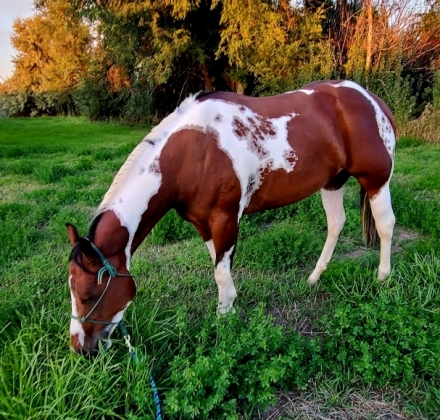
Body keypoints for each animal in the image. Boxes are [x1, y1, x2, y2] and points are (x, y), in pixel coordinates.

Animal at [67, 79, 398, 354]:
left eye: (87, 295)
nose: (80, 349)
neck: (192, 151)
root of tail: (374, 100)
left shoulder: (225, 219)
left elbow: (221, 272)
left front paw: (224, 320)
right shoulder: (203, 224)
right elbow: (220, 269)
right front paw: (229, 308)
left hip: (376, 181)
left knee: (385, 225)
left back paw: (382, 278)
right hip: (333, 182)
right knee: (336, 224)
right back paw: (314, 278)